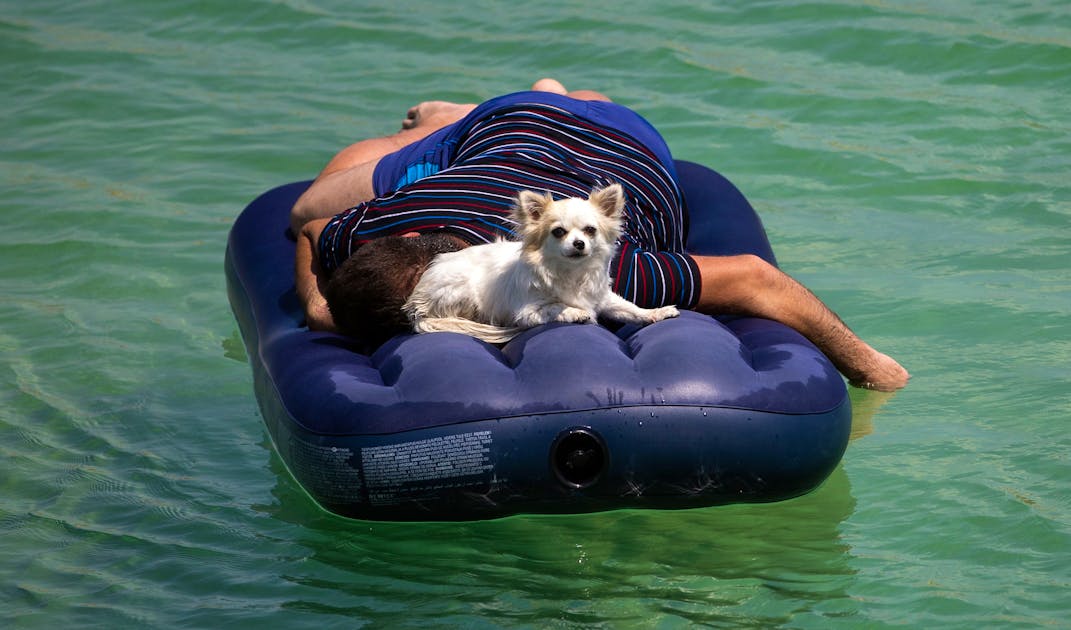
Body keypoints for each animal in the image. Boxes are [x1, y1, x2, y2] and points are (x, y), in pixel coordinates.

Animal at [403, 183, 679, 343]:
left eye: (590, 230)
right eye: (558, 232)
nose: (579, 243)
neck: (571, 273)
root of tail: (417, 303)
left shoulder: (603, 298)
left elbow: (630, 309)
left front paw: (656, 313)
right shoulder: (527, 312)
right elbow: (556, 306)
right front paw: (577, 313)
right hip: (463, 289)